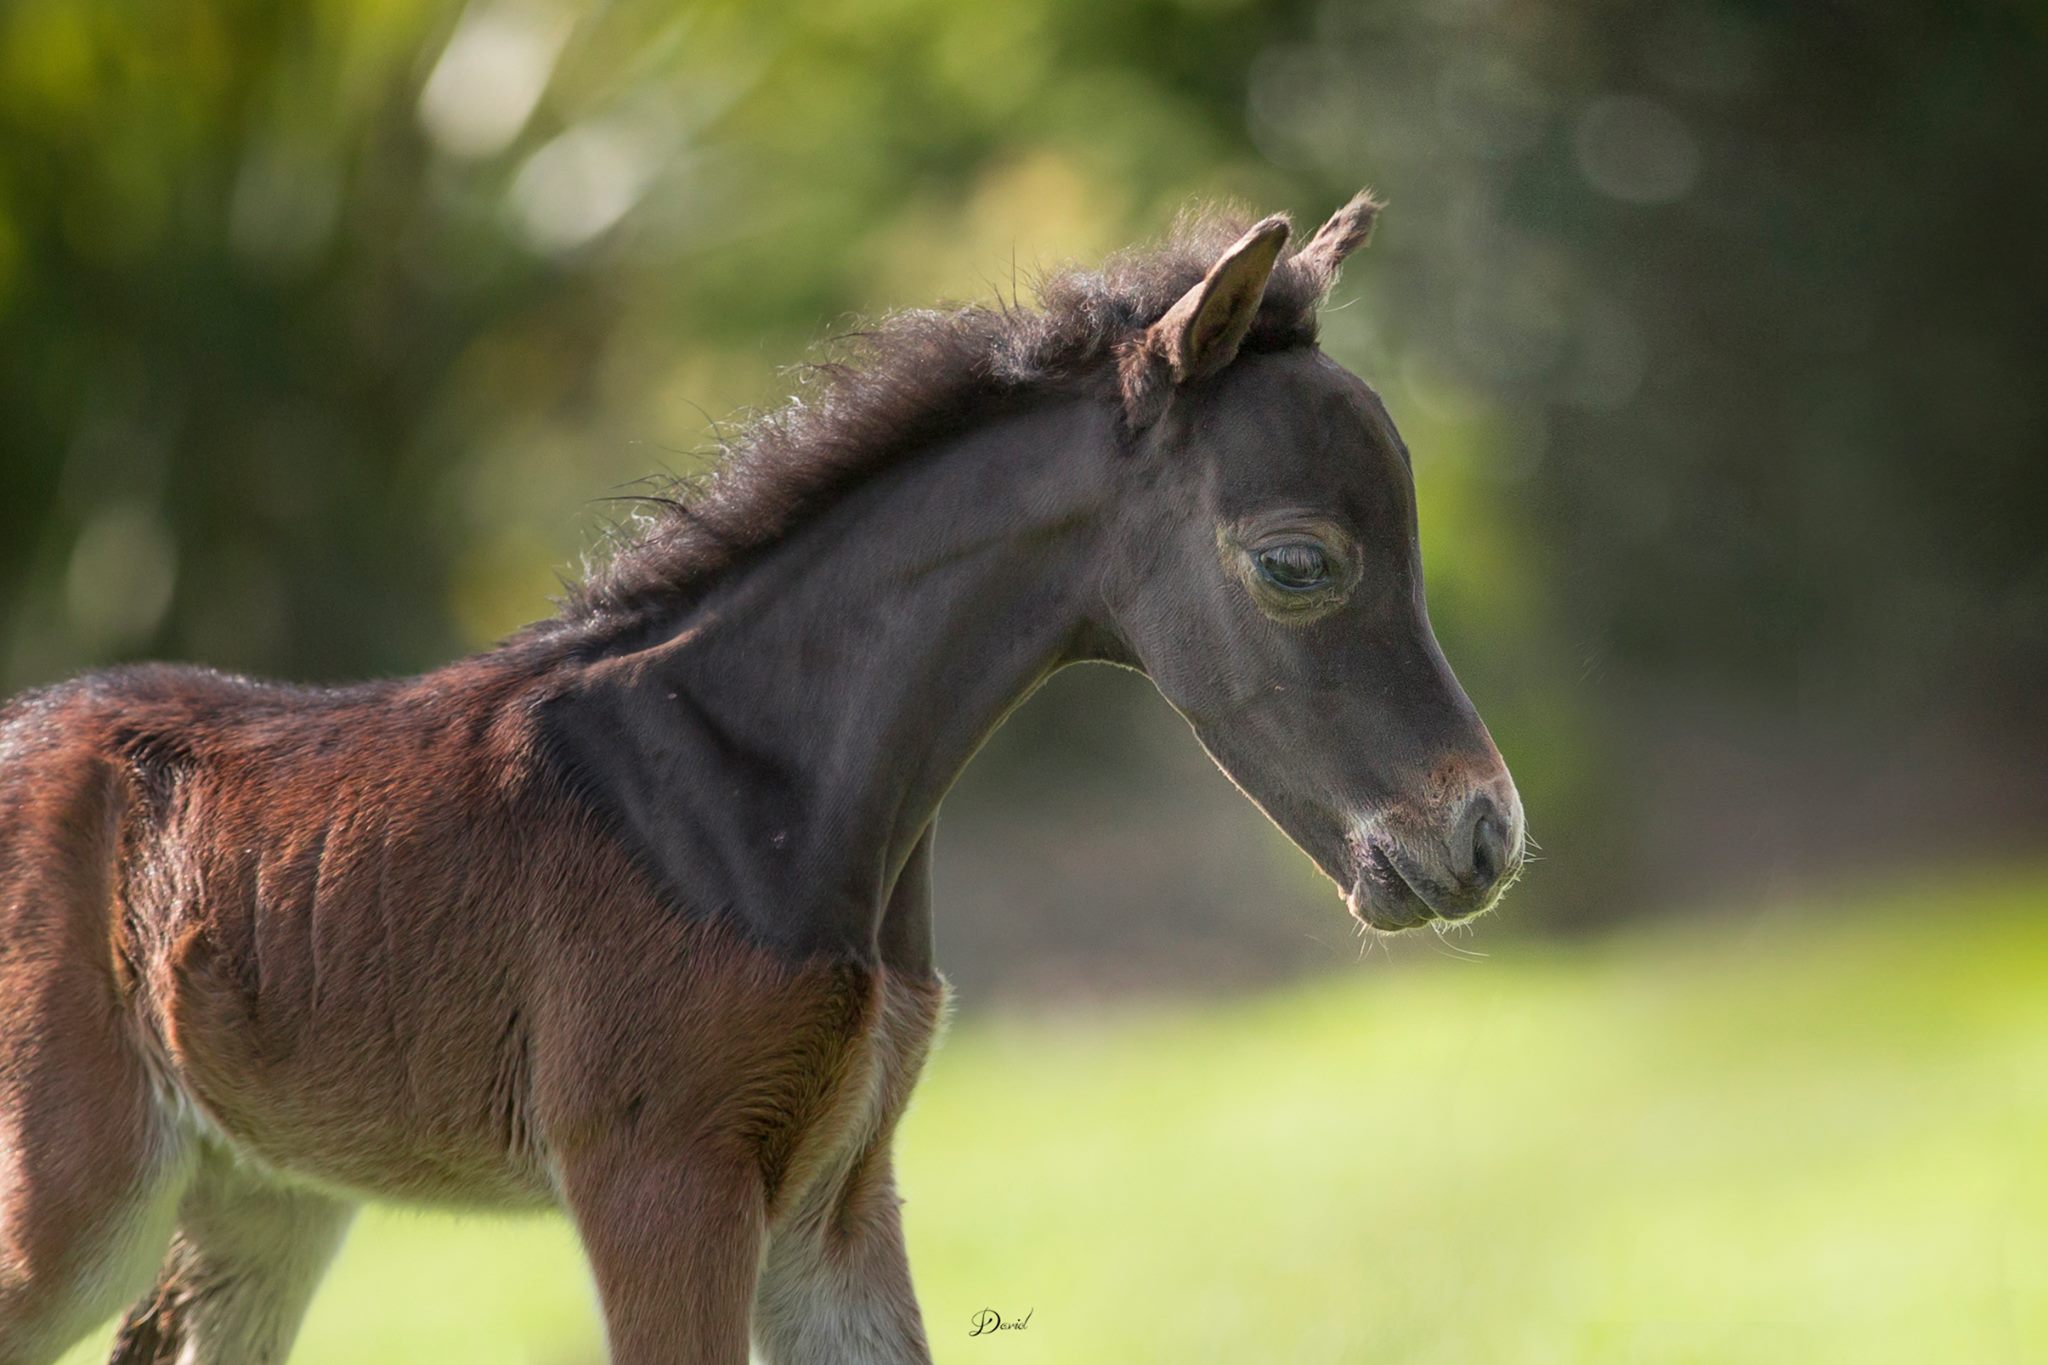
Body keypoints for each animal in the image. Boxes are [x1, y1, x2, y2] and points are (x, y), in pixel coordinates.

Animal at [0, 188, 1525, 1364]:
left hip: (260, 1190)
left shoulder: (838, 1194)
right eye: (1297, 561)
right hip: (70, 1202)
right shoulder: (657, 1181)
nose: (1480, 840)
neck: (753, 787)